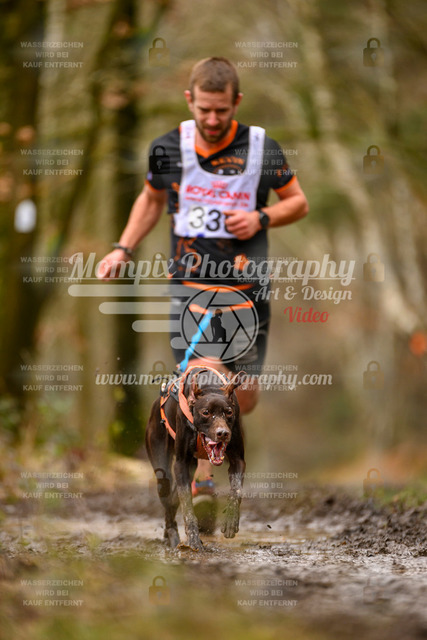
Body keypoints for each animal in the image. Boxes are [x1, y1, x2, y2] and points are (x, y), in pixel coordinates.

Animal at [145, 365, 246, 550]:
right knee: (168, 499)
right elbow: (188, 508)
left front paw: (230, 521)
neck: (210, 387)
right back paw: (172, 536)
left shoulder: (238, 461)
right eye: (206, 412)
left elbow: (236, 491)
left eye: (229, 412)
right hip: (162, 466)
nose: (223, 433)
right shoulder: (181, 464)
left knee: (172, 501)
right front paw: (193, 539)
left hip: (190, 469)